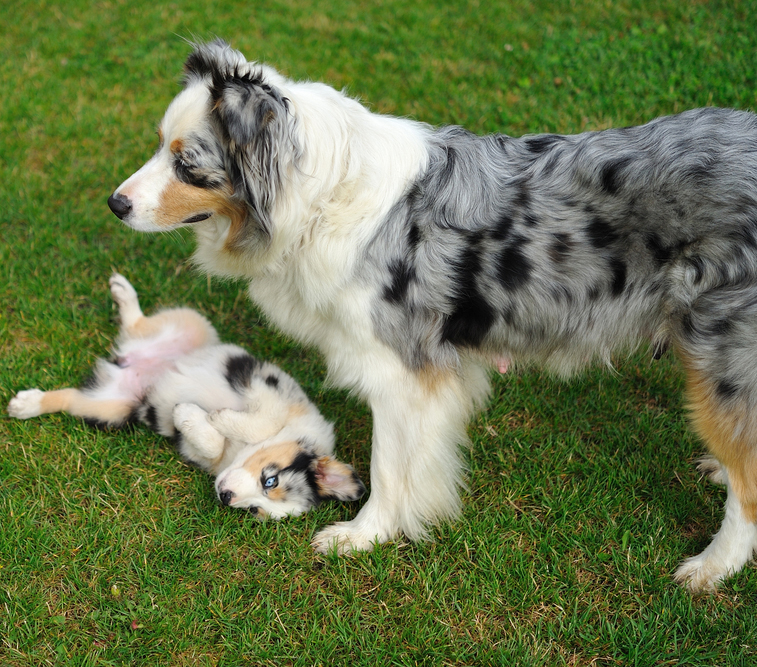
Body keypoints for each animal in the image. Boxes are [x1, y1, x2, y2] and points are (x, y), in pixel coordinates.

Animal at [6, 274, 364, 520]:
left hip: (110, 408)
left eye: (255, 511)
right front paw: (214, 416)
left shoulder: (198, 451)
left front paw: (188, 415)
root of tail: (129, 361)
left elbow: (208, 442)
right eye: (270, 480)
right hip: (194, 323)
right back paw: (123, 293)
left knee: (69, 397)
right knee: (138, 322)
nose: (226, 496)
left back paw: (25, 404)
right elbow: (263, 420)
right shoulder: (266, 383)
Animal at [106, 40, 756, 596]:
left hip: (721, 358)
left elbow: (390, 466)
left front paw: (364, 535)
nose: (115, 203)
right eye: (159, 144)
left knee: (746, 487)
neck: (319, 195)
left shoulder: (402, 370)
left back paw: (711, 568)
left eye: (187, 164)